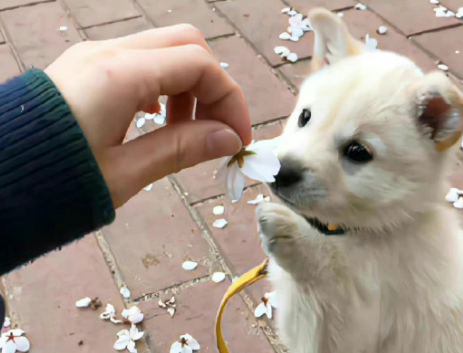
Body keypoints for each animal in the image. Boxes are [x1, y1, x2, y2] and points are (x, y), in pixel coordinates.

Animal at [260, 7, 463, 352]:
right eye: (304, 116)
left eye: (357, 152)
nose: (280, 172)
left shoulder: (359, 324)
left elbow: (328, 278)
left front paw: (294, 237)